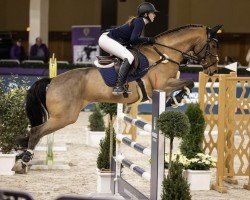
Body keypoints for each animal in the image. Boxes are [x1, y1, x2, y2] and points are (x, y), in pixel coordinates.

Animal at [12, 24, 222, 173]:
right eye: (212, 45)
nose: (213, 70)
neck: (165, 54)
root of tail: (52, 81)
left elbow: (188, 83)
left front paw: (176, 98)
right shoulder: (162, 85)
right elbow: (188, 82)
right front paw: (175, 99)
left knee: (35, 131)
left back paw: (20, 159)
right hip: (64, 117)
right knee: (36, 131)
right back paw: (22, 163)